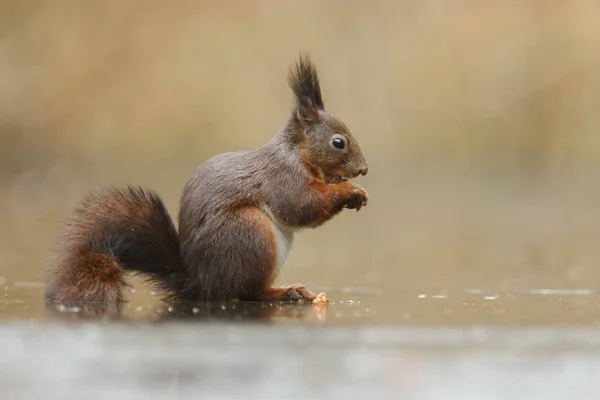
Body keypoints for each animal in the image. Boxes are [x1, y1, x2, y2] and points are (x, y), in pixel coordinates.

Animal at [44, 54, 368, 306]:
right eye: (338, 142)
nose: (363, 169)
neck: (297, 152)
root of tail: (200, 283)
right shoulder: (282, 178)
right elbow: (303, 206)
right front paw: (351, 190)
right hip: (251, 233)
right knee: (247, 292)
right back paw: (286, 291)